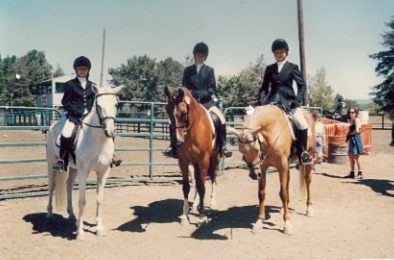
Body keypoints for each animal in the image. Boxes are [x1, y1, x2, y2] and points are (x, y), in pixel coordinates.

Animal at [46, 84, 123, 241]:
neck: (98, 140)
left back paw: (71, 215)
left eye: (116, 104)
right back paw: (49, 215)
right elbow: (82, 201)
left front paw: (99, 228)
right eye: (98, 106)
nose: (110, 132)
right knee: (51, 186)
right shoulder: (83, 171)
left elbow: (99, 199)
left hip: (73, 168)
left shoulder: (103, 172)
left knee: (68, 185)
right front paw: (80, 232)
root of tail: (53, 125)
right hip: (52, 164)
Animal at [162, 86, 219, 226]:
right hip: (195, 162)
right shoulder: (184, 161)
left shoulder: (204, 160)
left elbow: (202, 187)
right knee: (197, 180)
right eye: (168, 111)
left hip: (215, 158)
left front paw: (202, 217)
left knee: (213, 177)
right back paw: (195, 205)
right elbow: (186, 187)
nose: (178, 142)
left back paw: (213, 203)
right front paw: (185, 216)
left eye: (183, 113)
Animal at [228, 104, 314, 236]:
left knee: (308, 180)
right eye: (241, 151)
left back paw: (309, 209)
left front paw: (287, 224)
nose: (254, 175)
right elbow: (262, 193)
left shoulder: (282, 166)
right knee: (287, 183)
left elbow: (283, 194)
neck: (272, 130)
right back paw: (283, 208)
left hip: (310, 155)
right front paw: (259, 222)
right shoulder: (263, 167)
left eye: (256, 149)